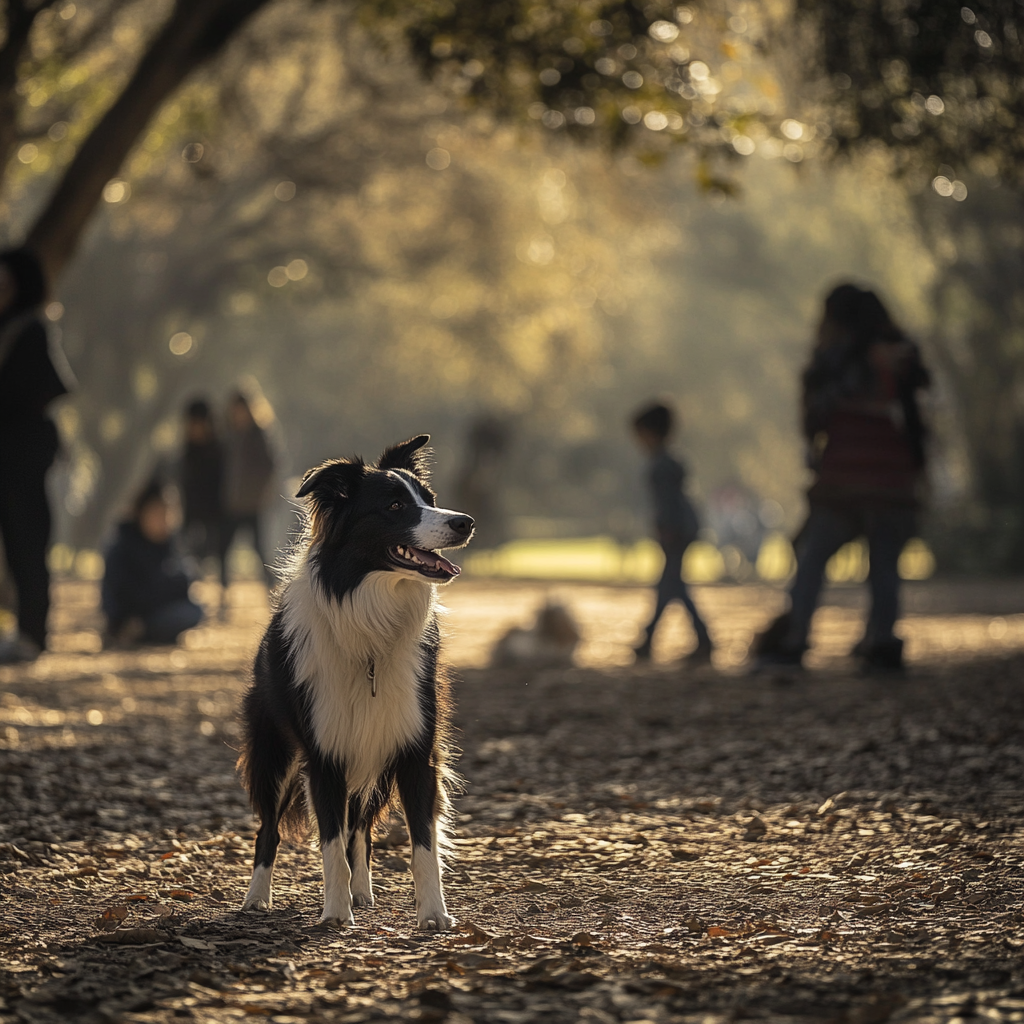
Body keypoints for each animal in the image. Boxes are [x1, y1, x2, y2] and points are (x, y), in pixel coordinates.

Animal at [239, 436, 475, 933]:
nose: (465, 522)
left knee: (360, 828)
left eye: (430, 499)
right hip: (276, 755)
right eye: (394, 505)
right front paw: (334, 912)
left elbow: (422, 844)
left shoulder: (412, 748)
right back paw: (256, 898)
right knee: (269, 829)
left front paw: (433, 914)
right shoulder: (323, 755)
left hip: (376, 754)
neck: (371, 623)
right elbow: (330, 843)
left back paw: (363, 892)